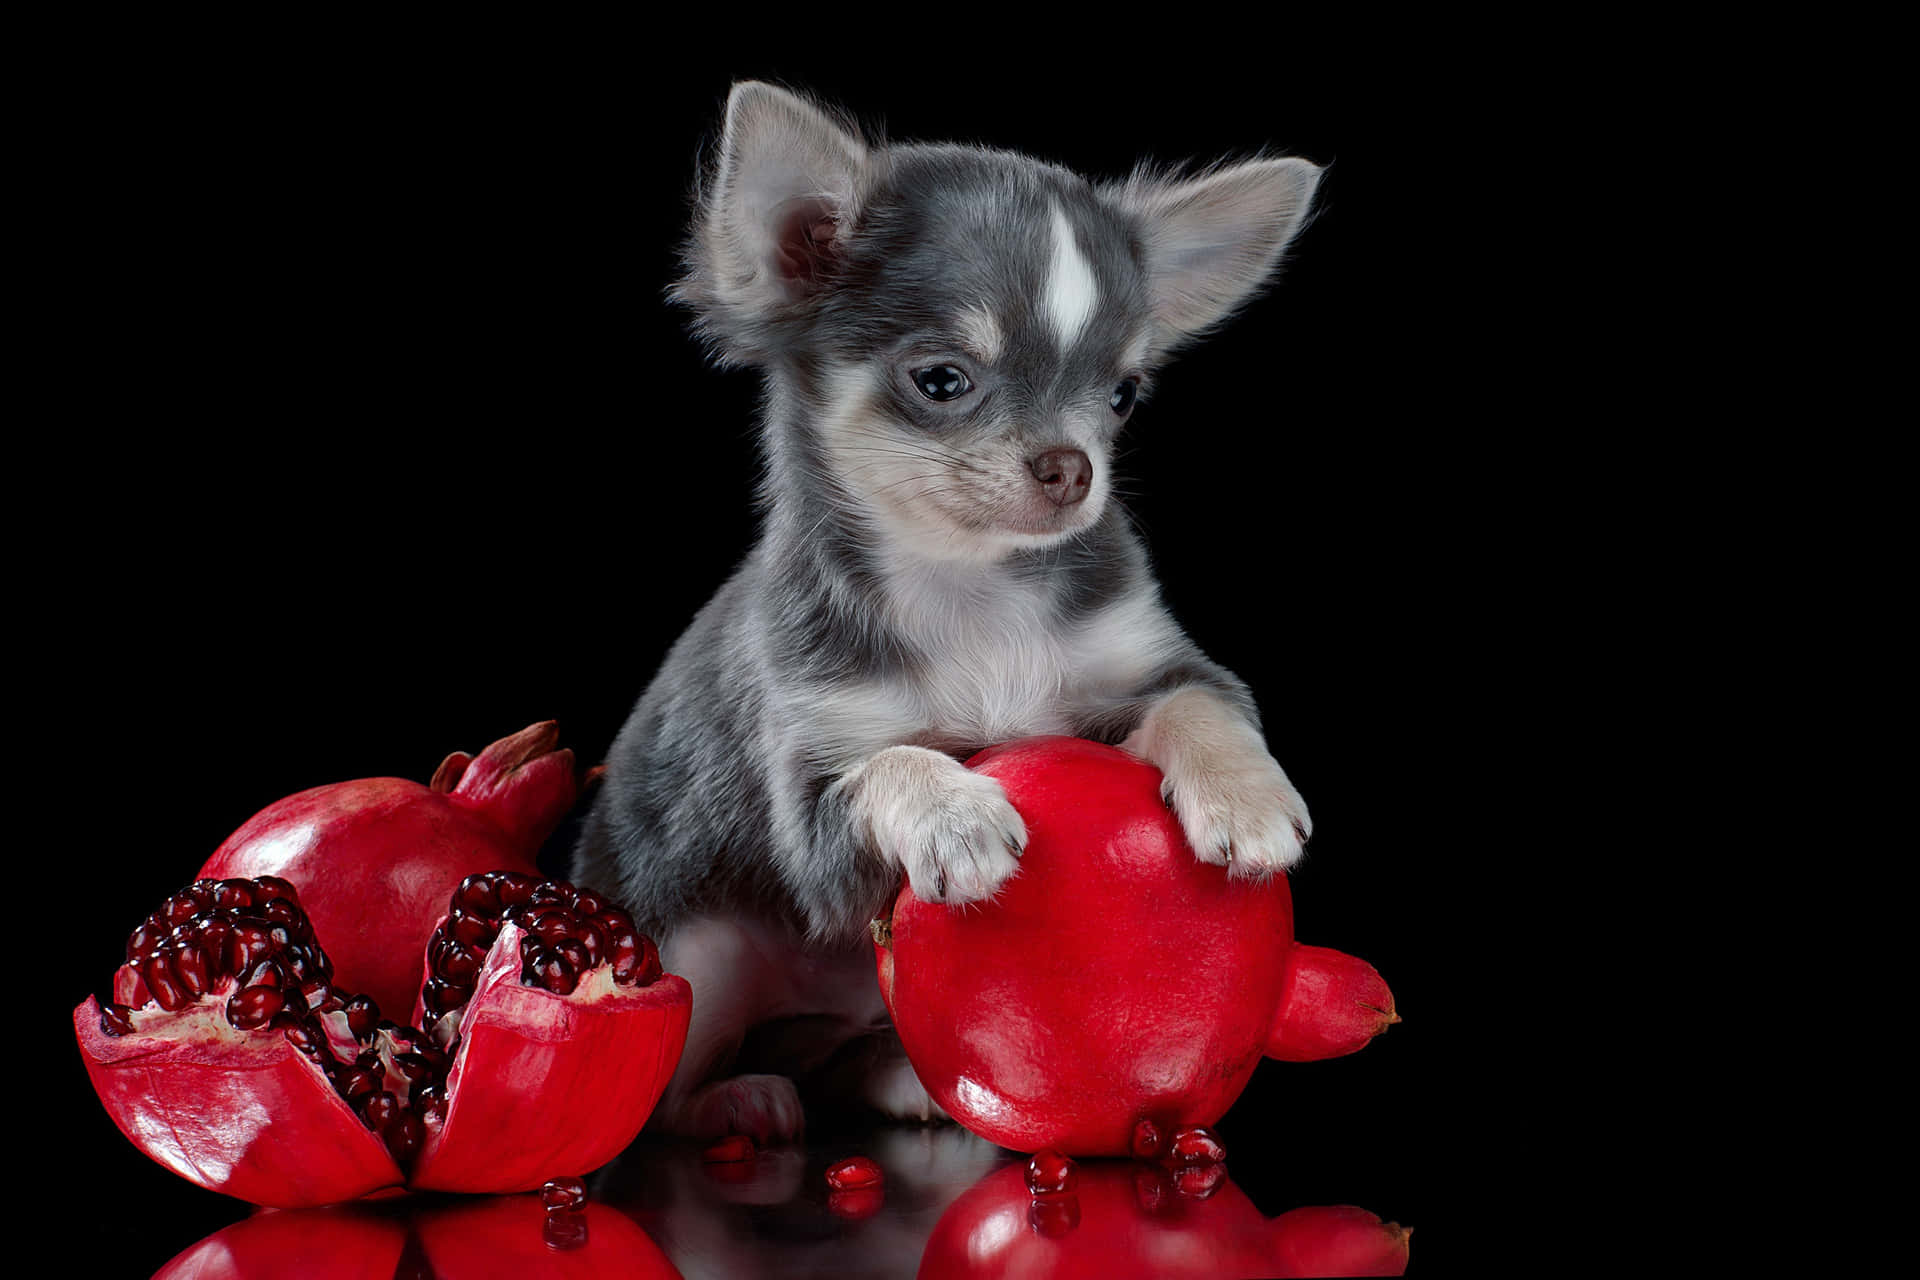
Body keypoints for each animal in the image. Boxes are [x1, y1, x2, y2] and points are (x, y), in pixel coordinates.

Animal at [568, 80, 1320, 1143]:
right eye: (942, 381)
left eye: (1123, 396)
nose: (1073, 468)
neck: (973, 588)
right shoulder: (816, 800)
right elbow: (892, 762)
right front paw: (955, 814)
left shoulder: (1150, 661)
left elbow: (1198, 704)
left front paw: (1246, 797)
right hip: (697, 955)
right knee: (674, 1090)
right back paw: (742, 1100)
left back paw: (903, 1082)